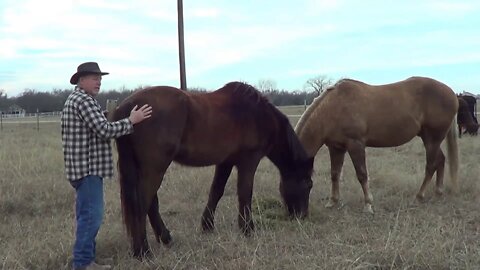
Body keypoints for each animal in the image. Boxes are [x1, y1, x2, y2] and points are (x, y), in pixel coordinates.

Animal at [113, 81, 316, 258]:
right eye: (308, 184)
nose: (302, 216)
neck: (258, 114)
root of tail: (127, 108)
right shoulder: (249, 161)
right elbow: (245, 193)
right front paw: (248, 228)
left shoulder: (225, 162)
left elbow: (216, 191)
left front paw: (207, 226)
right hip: (155, 167)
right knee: (142, 203)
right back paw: (143, 251)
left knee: (150, 204)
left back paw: (164, 238)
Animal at [294, 75, 460, 213]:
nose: (298, 214)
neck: (333, 108)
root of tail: (452, 93)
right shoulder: (336, 148)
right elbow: (335, 174)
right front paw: (332, 202)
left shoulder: (356, 145)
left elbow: (362, 175)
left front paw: (368, 204)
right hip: (430, 139)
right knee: (441, 160)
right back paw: (438, 193)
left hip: (432, 140)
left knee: (431, 165)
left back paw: (419, 196)